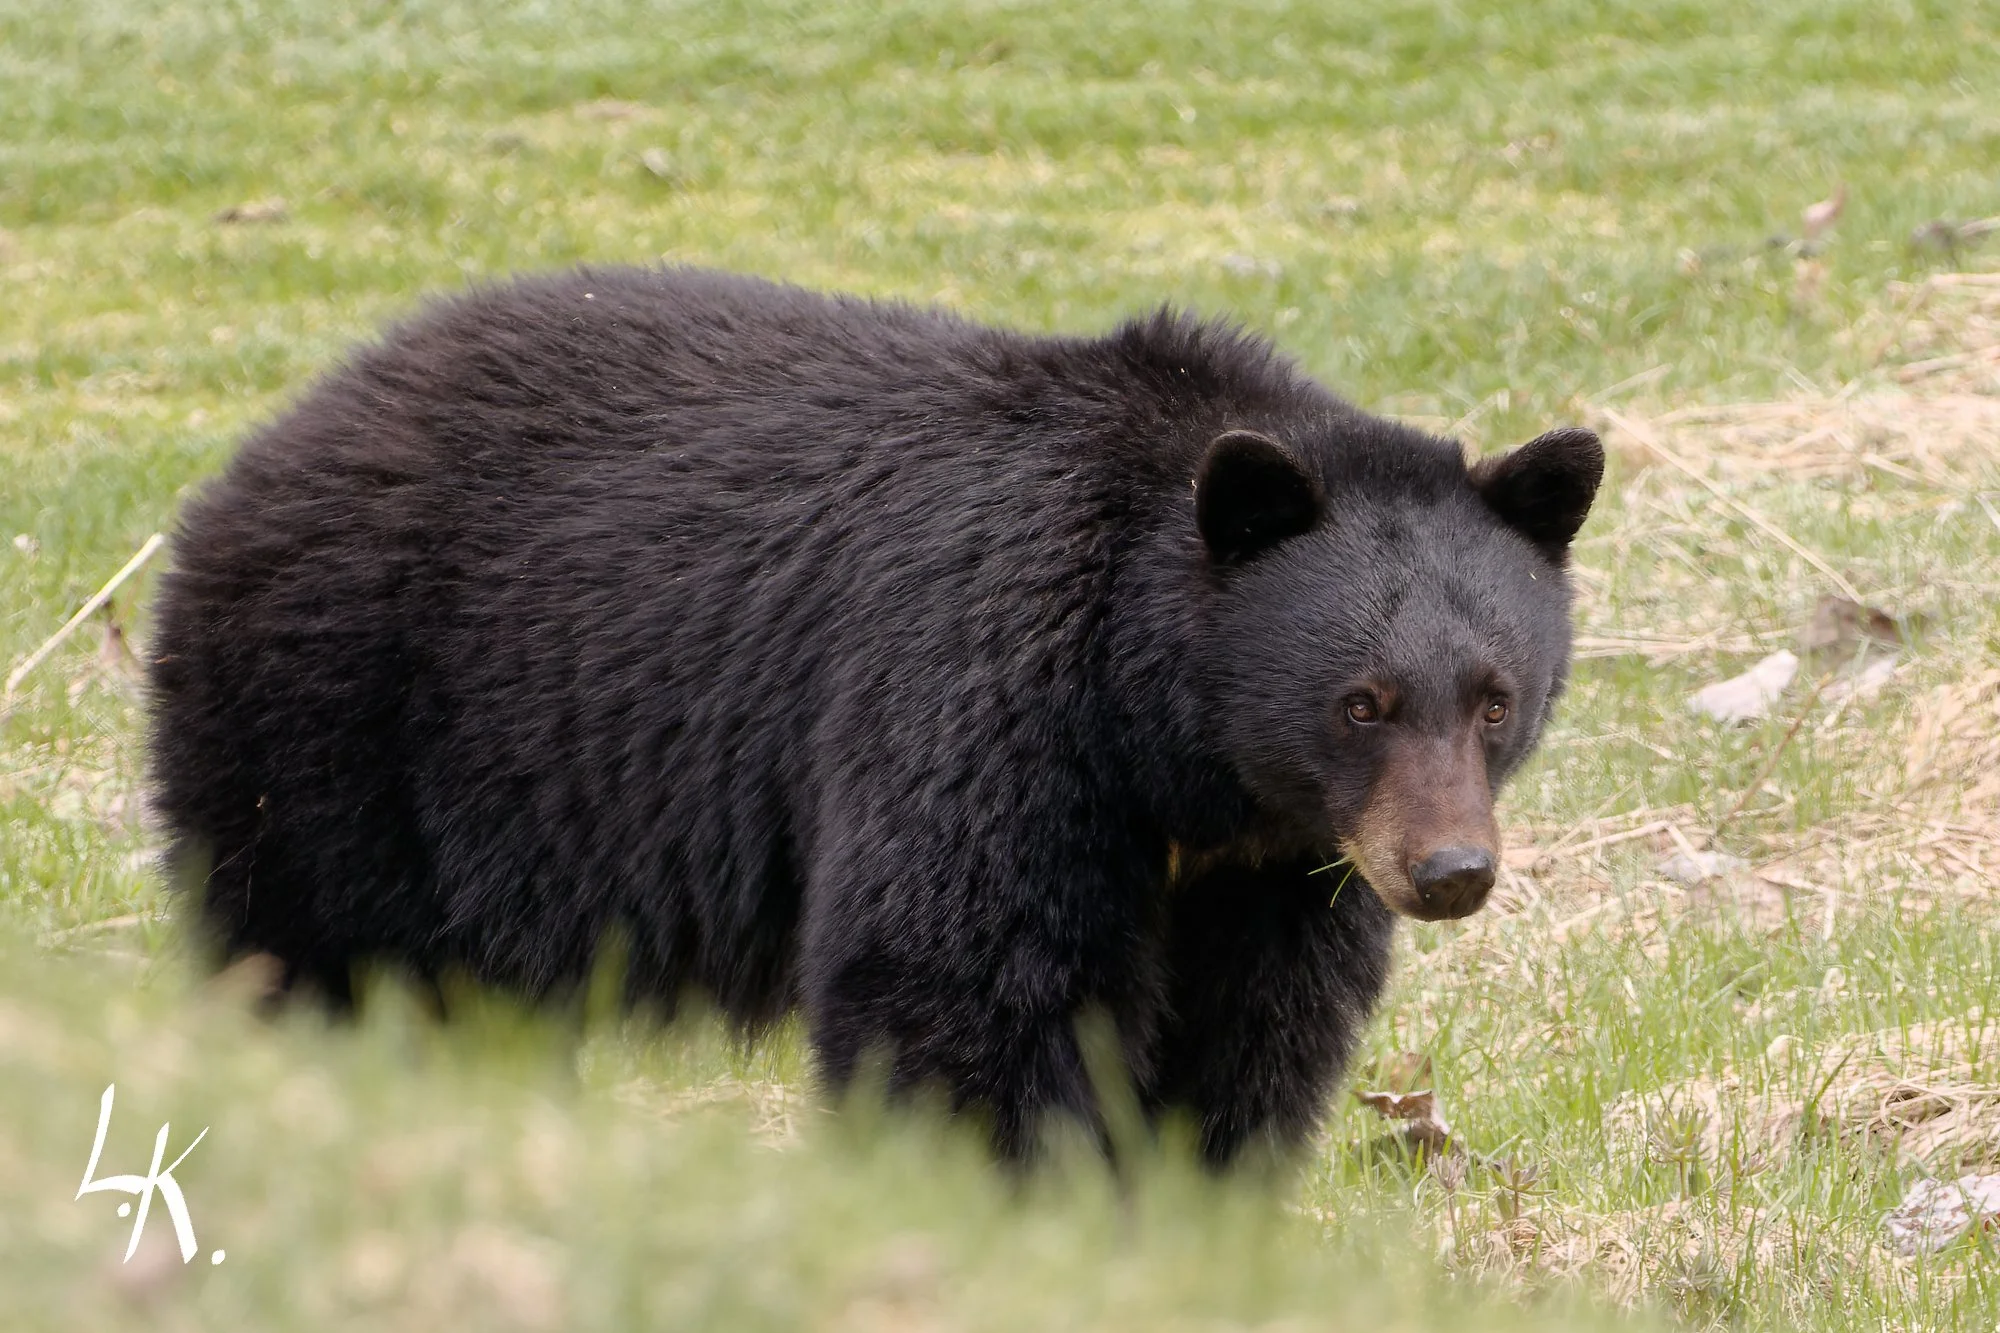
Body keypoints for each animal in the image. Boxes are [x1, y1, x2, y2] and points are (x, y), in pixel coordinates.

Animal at [147, 266, 1602, 1164]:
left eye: (1493, 699)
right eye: (1361, 701)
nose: (1452, 871)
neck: (1168, 741)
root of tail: (250, 461)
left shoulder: (1272, 865)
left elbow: (1247, 1036)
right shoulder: (985, 695)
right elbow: (960, 985)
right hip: (349, 731)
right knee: (337, 964)